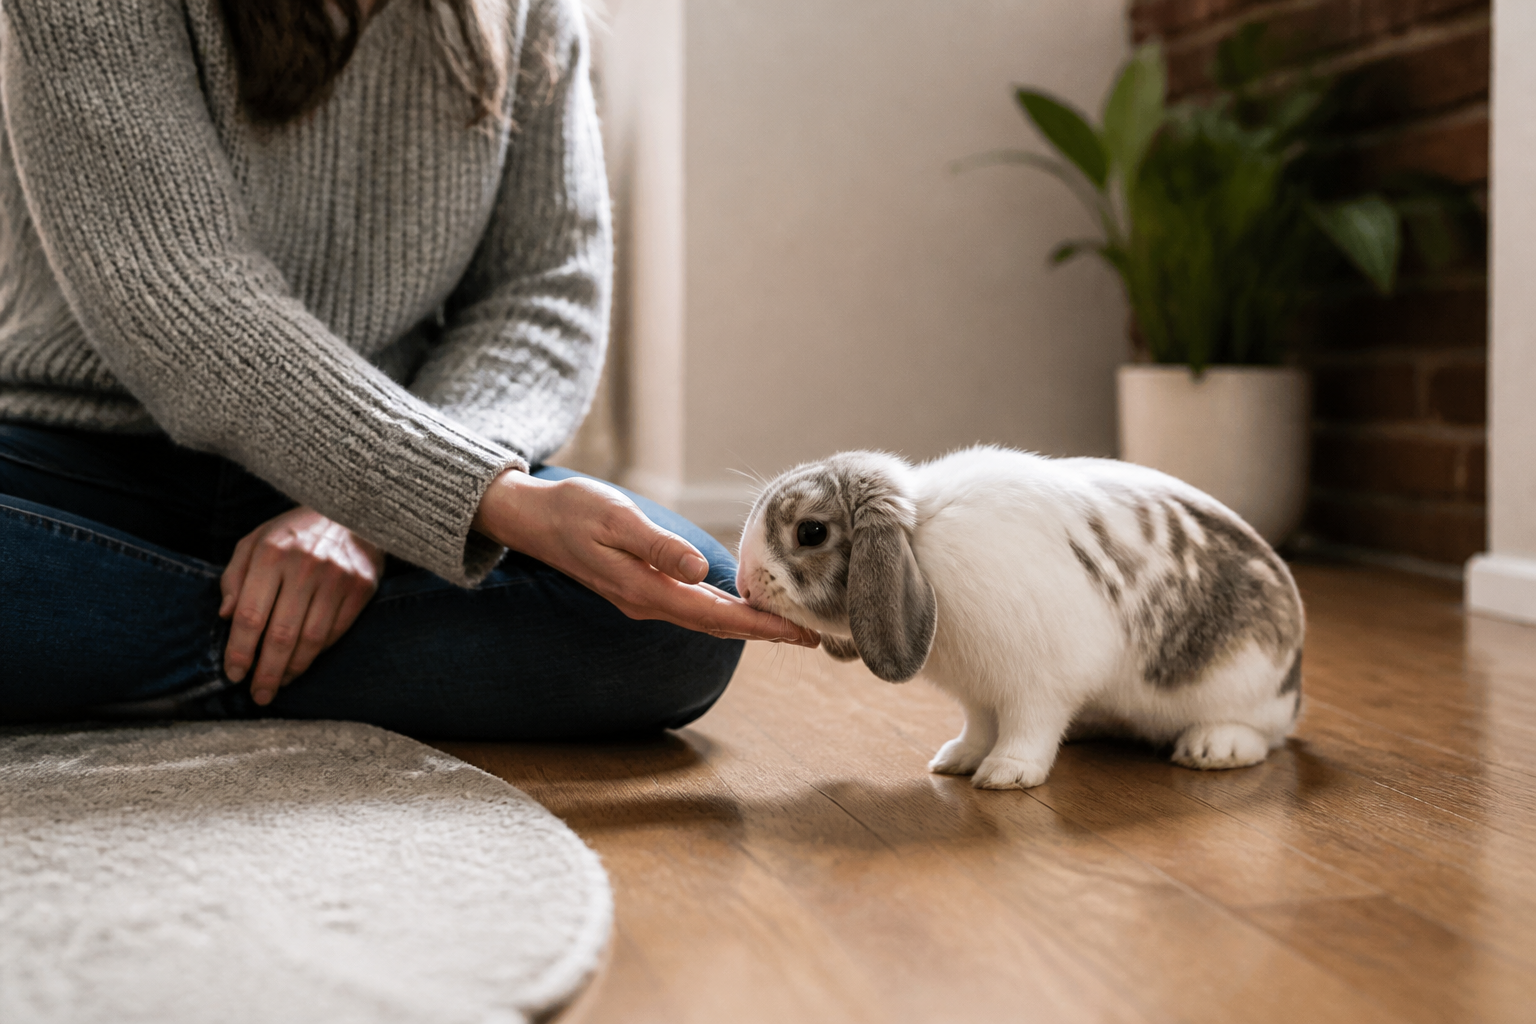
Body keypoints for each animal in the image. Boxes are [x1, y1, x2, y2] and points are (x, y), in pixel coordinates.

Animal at [735, 445, 1305, 790]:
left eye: (811, 532)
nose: (744, 586)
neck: (922, 545)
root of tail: (1294, 679)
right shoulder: (979, 692)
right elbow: (980, 726)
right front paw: (957, 760)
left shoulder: (1039, 684)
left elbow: (1028, 728)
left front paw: (1005, 774)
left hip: (1243, 684)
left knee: (1262, 733)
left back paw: (1213, 748)